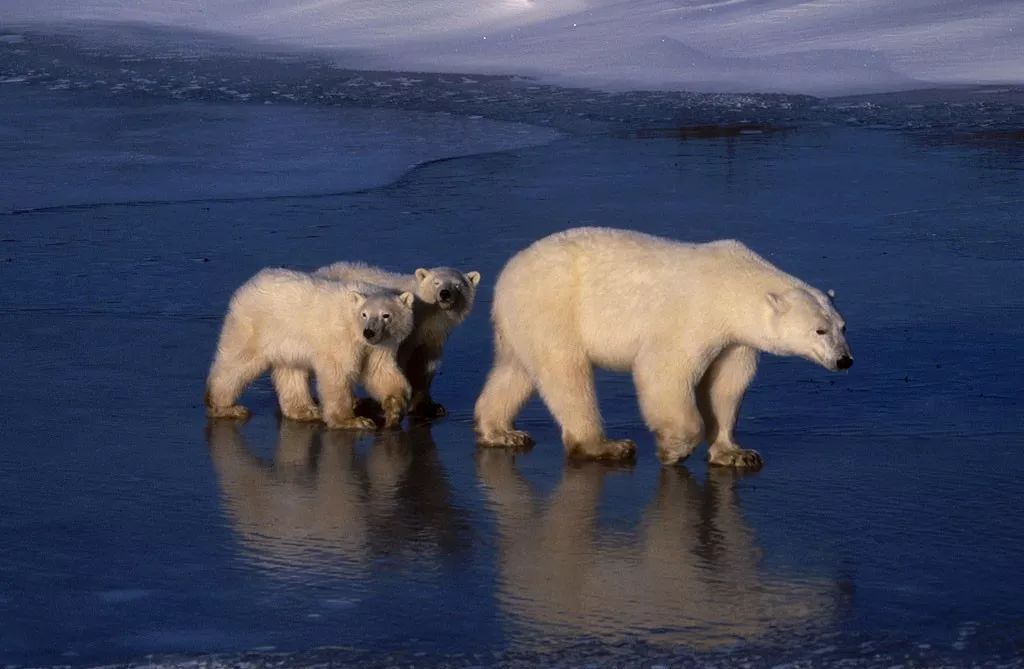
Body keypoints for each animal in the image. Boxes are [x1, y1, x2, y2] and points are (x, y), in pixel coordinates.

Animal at [205, 268, 413, 430]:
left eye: (386, 315)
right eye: (364, 314)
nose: (369, 332)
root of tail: (247, 286)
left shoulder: (381, 344)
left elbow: (379, 371)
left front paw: (394, 409)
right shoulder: (341, 337)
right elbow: (338, 373)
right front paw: (353, 421)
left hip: (286, 341)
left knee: (291, 371)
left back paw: (307, 410)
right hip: (255, 328)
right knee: (238, 363)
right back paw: (225, 407)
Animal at [301, 262, 481, 413]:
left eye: (457, 285)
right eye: (436, 283)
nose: (444, 293)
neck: (425, 312)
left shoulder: (433, 335)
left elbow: (426, 364)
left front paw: (430, 407)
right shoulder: (406, 333)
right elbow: (399, 360)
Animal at [475, 227, 851, 467]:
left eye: (842, 326)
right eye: (819, 330)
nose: (844, 360)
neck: (733, 284)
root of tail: (508, 272)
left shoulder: (735, 339)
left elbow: (726, 386)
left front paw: (735, 453)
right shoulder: (693, 316)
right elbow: (665, 371)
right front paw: (674, 448)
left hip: (522, 323)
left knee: (516, 370)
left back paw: (500, 431)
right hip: (554, 308)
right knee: (566, 374)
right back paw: (606, 446)